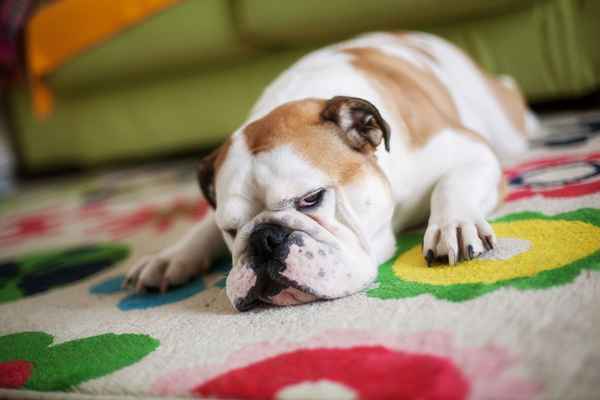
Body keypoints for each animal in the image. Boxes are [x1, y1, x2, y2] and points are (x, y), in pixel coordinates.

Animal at [122, 32, 536, 312]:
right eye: (232, 229)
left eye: (311, 199)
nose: (264, 239)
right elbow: (200, 227)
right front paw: (170, 257)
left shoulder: (471, 151)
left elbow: (451, 185)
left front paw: (454, 225)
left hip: (503, 127)